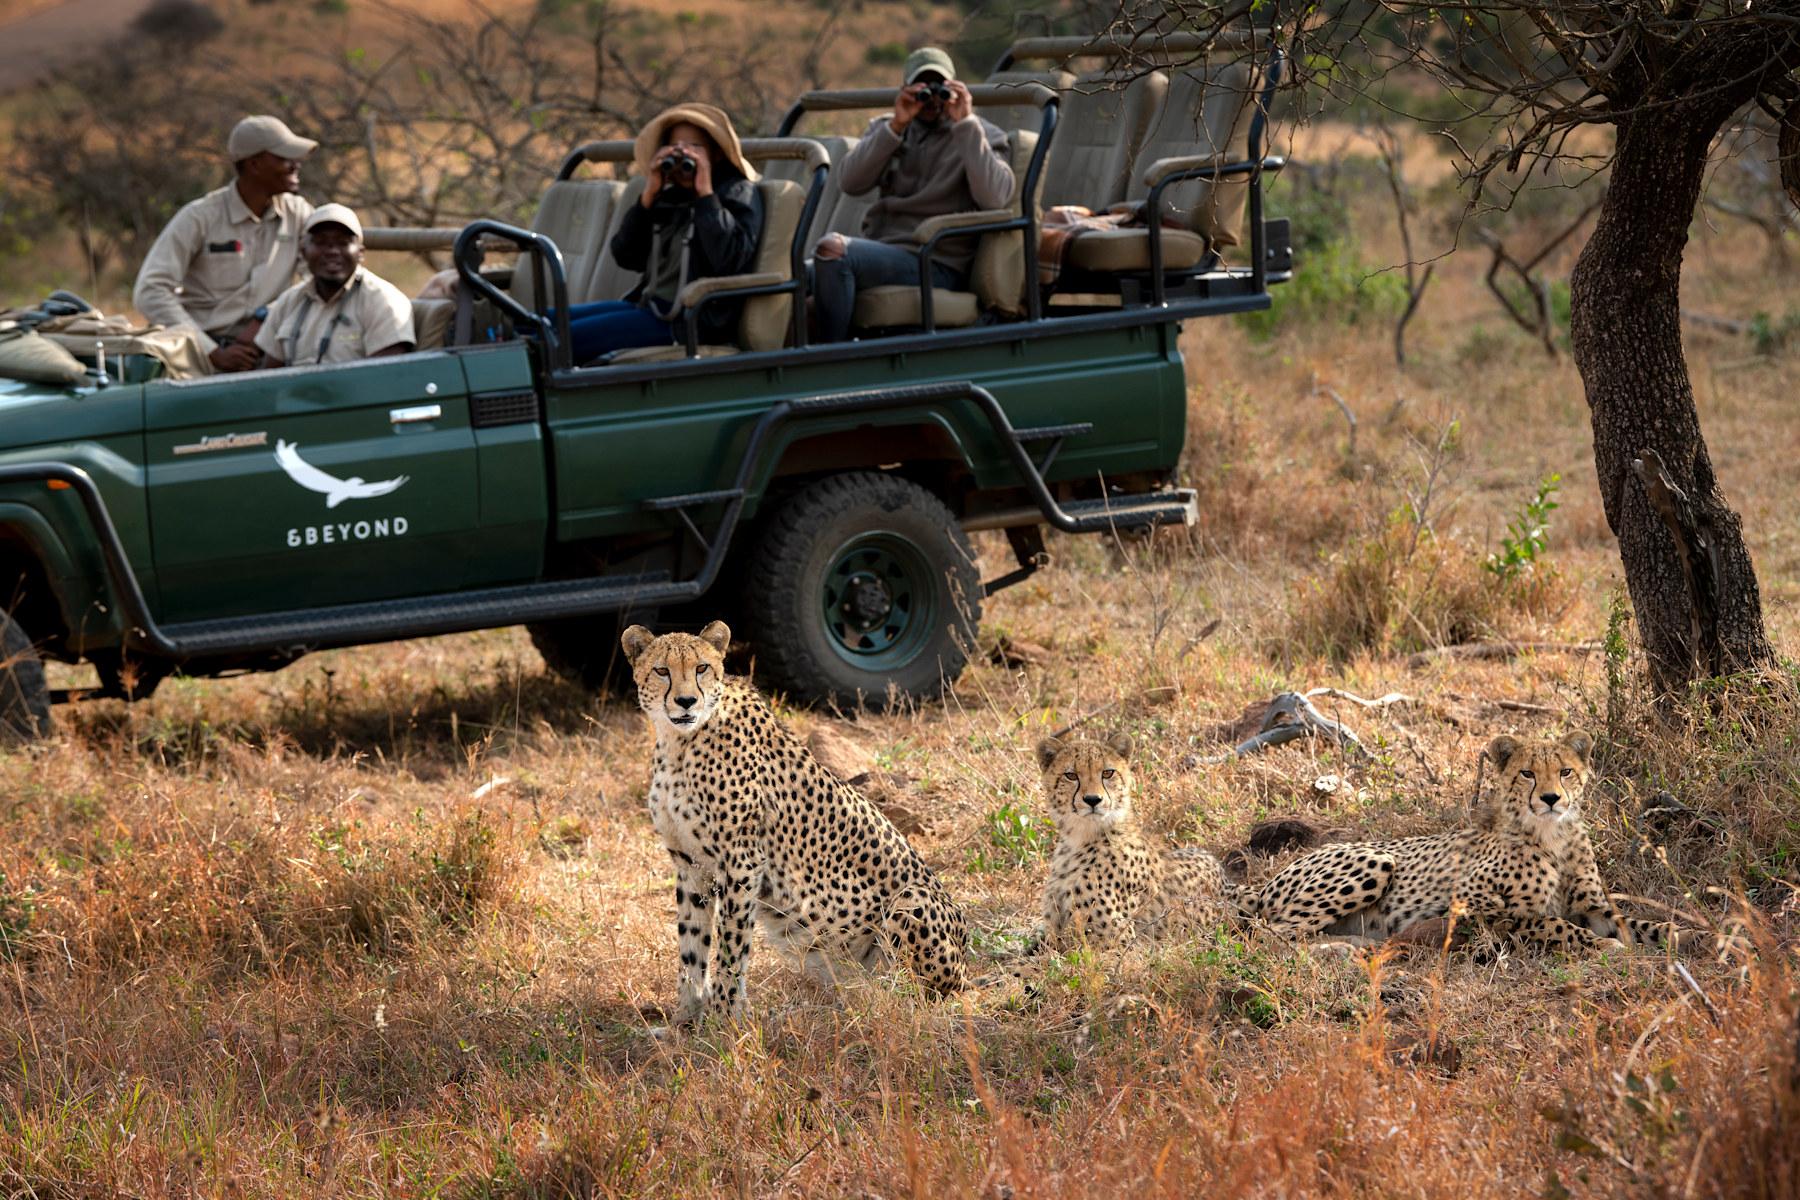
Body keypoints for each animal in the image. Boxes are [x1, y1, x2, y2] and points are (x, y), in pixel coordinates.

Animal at [621, 621, 968, 1025]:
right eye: (662, 670)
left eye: (701, 668)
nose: (687, 701)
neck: (681, 741)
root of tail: (966, 966)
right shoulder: (691, 866)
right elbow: (693, 947)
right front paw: (686, 1020)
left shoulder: (742, 862)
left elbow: (731, 946)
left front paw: (723, 1020)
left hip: (911, 901)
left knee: (914, 995)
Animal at [1037, 732, 1230, 950]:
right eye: (1071, 775)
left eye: (1107, 773)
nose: (1093, 800)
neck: (1079, 838)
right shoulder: (1052, 935)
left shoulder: (1118, 942)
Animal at [1247, 730, 1677, 955]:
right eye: (1527, 773)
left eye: (1565, 772)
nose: (1551, 798)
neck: (1551, 835)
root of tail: (1269, 882)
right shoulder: (1473, 903)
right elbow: (1552, 923)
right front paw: (1605, 947)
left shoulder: (1593, 906)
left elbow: (1637, 922)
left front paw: (1685, 936)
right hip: (1377, 859)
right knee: (1270, 934)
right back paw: (1337, 950)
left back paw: (1358, 942)